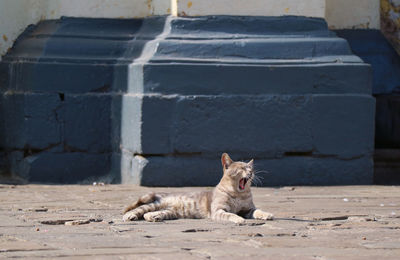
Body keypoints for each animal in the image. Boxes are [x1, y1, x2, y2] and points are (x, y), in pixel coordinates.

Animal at [122, 153, 274, 224]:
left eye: (250, 168)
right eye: (242, 168)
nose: (251, 173)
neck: (238, 194)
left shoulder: (248, 209)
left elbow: (258, 211)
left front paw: (267, 214)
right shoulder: (219, 210)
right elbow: (231, 214)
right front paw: (239, 219)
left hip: (168, 211)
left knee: (149, 214)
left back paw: (153, 217)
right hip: (153, 204)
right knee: (139, 209)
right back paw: (129, 216)